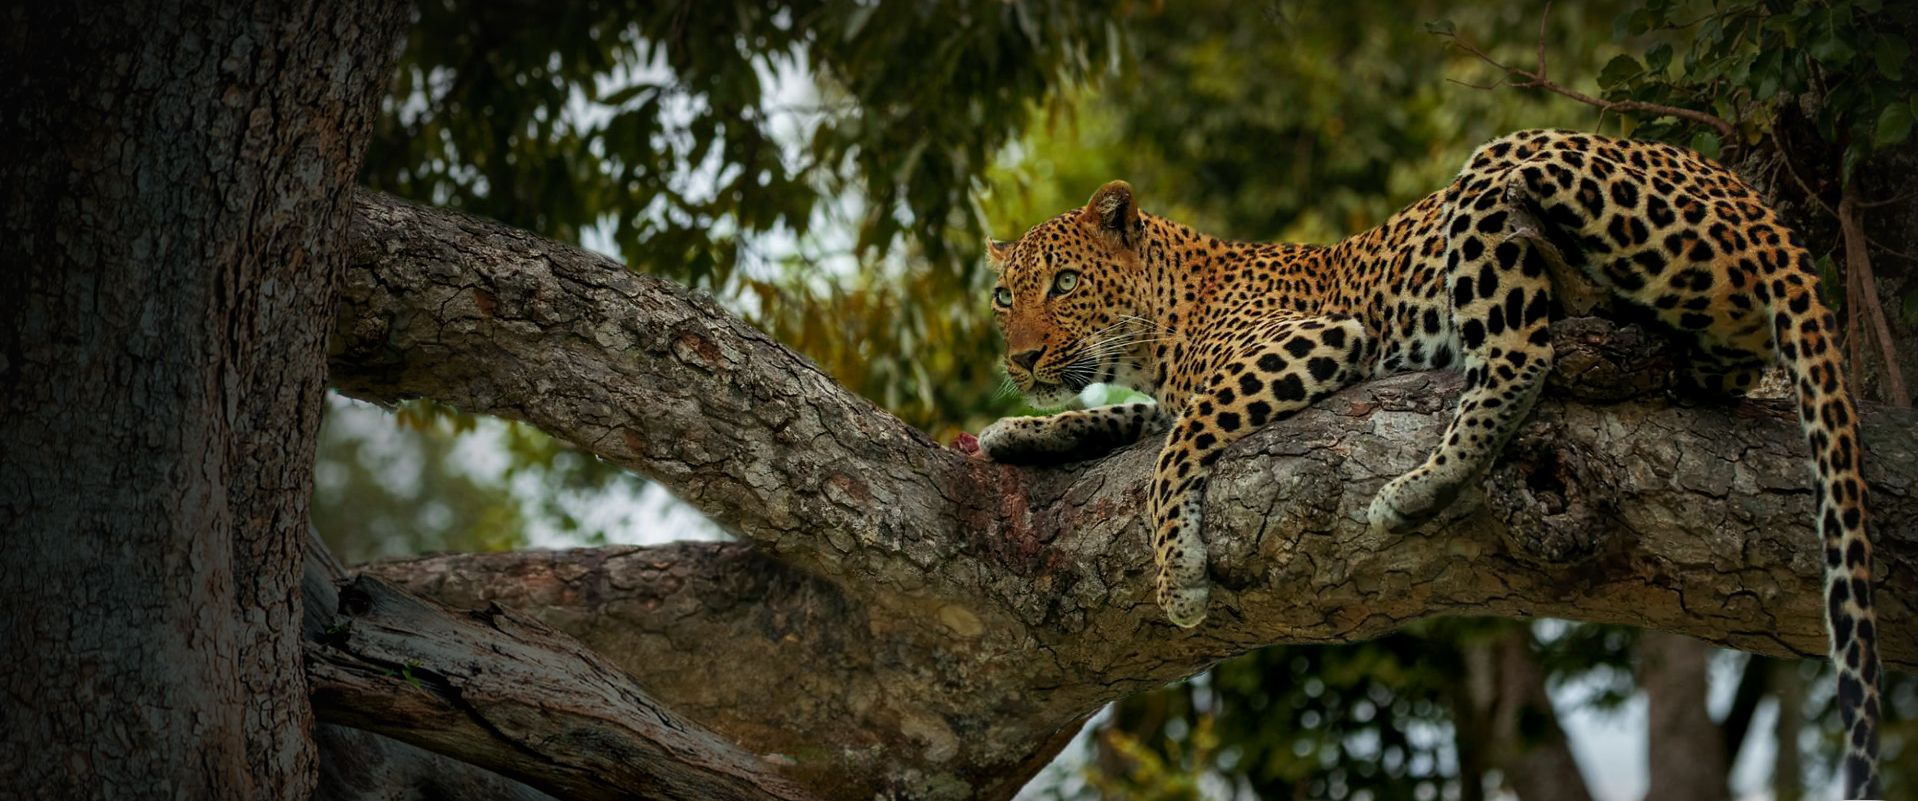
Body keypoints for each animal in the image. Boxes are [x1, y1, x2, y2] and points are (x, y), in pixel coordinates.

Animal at [982, 130, 1879, 793]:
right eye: (1002, 296)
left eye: (1064, 283)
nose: (1020, 360)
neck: (1156, 332)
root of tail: (1756, 205)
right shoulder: (1167, 387)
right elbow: (1130, 418)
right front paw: (1012, 433)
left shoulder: (1312, 338)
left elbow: (1174, 447)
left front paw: (1179, 576)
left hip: (1509, 169)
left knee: (1520, 351)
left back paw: (1419, 488)